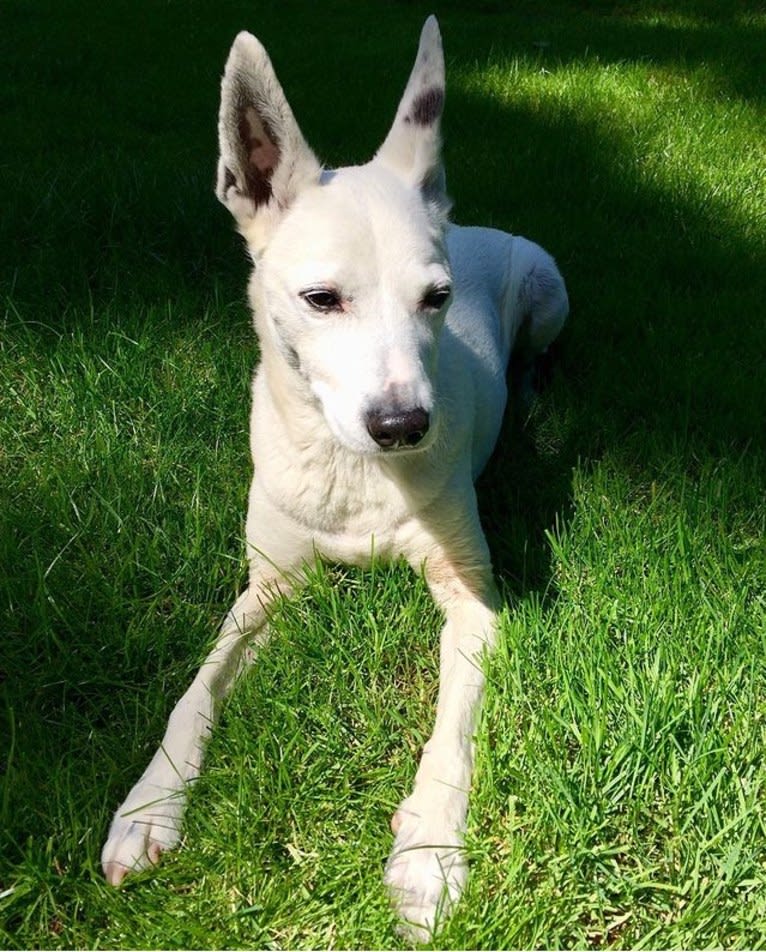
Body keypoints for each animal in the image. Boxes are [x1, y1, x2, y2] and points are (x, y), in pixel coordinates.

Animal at [100, 16, 568, 944]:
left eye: (437, 298)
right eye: (321, 299)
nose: (404, 425)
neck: (355, 475)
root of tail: (473, 222)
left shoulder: (473, 600)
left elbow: (453, 728)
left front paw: (427, 857)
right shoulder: (267, 588)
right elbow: (195, 690)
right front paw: (147, 807)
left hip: (548, 287)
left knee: (537, 353)